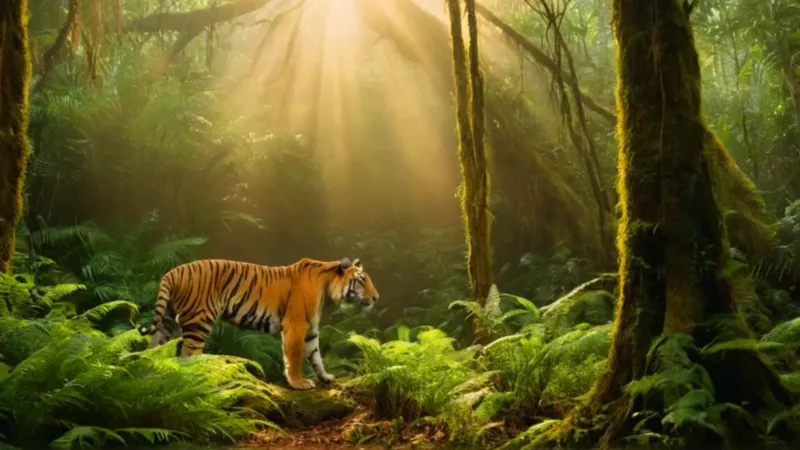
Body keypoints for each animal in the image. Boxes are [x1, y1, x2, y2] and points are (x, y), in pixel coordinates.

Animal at [138, 257, 379, 390]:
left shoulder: (310, 329)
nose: (376, 298)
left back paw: (149, 374)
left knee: (154, 349)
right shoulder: (295, 326)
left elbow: (316, 356)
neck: (327, 290)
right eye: (361, 280)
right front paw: (298, 382)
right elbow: (294, 357)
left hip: (168, 322)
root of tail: (171, 271)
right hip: (199, 320)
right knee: (188, 355)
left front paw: (326, 377)